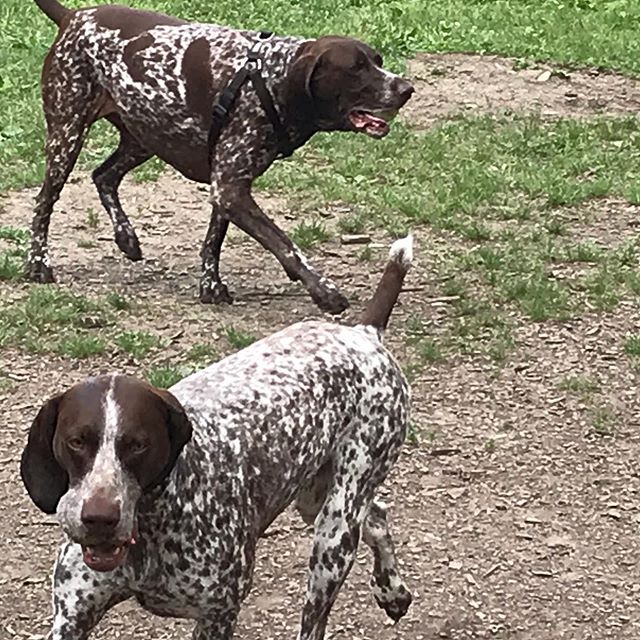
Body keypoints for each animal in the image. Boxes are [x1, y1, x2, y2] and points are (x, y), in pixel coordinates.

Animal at [21, 236, 416, 640]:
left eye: (138, 444)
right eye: (76, 441)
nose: (99, 518)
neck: (151, 524)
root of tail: (363, 332)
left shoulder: (218, 615)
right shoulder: (71, 617)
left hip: (334, 533)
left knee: (315, 618)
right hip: (313, 497)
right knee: (377, 515)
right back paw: (393, 591)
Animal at [27, 0, 412, 312]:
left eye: (377, 62)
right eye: (356, 68)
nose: (407, 88)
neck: (270, 78)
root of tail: (73, 16)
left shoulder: (226, 183)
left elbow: (214, 240)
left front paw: (210, 284)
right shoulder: (231, 188)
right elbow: (286, 244)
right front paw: (323, 290)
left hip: (144, 136)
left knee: (103, 176)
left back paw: (126, 237)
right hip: (67, 136)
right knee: (44, 202)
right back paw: (37, 264)